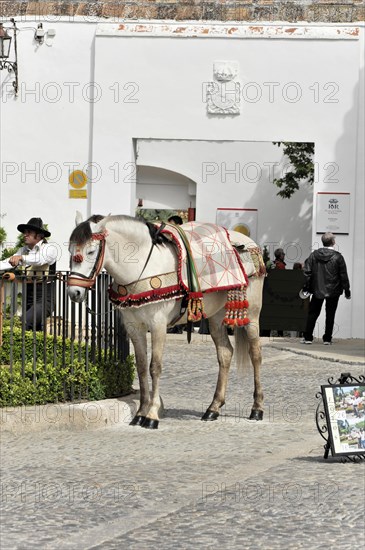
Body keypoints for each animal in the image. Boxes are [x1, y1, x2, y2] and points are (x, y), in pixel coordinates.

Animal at [67, 216, 264, 432]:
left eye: (91, 252)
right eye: (70, 250)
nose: (74, 292)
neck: (141, 268)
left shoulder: (158, 325)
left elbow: (155, 367)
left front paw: (152, 415)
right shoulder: (134, 327)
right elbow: (141, 367)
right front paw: (140, 413)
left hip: (252, 315)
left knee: (255, 354)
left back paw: (257, 408)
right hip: (215, 317)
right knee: (225, 354)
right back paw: (213, 408)